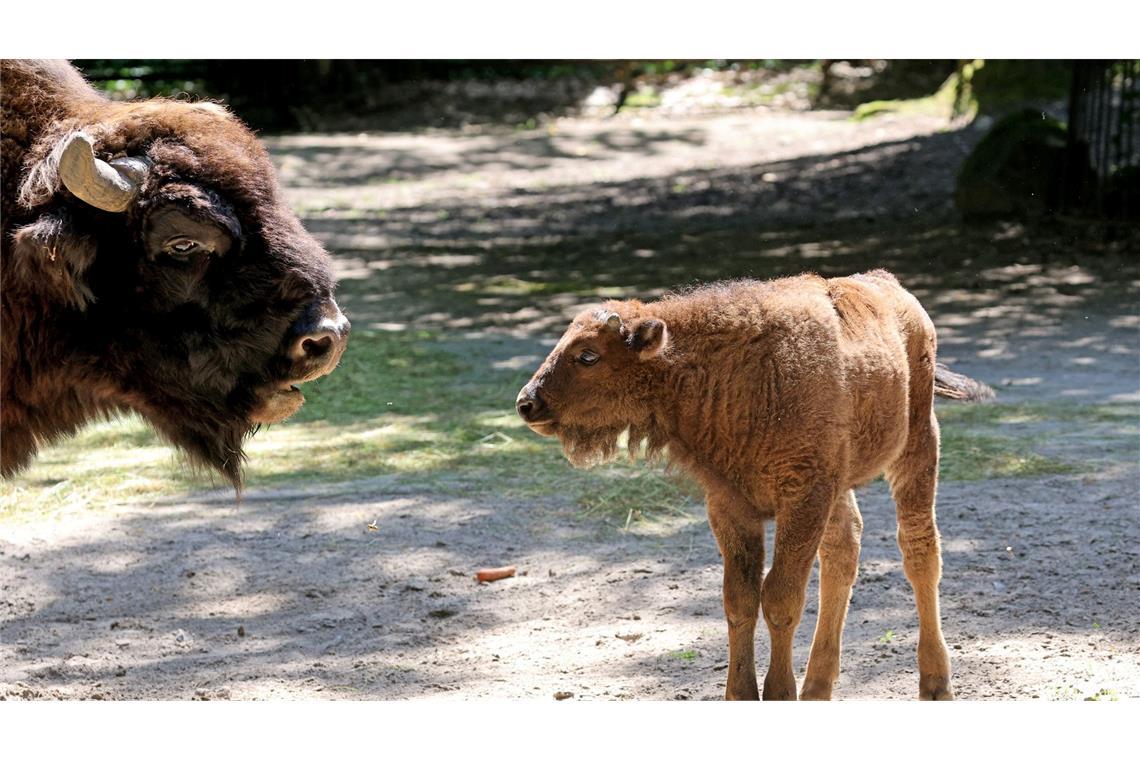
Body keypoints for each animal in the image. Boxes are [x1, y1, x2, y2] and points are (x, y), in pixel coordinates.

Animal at [522, 272, 994, 701]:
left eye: (588, 356)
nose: (527, 403)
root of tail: (892, 288)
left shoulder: (802, 498)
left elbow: (781, 597)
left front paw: (780, 692)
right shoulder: (732, 506)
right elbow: (740, 599)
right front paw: (742, 693)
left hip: (917, 445)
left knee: (919, 551)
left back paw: (935, 685)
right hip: (840, 486)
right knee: (844, 552)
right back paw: (817, 688)